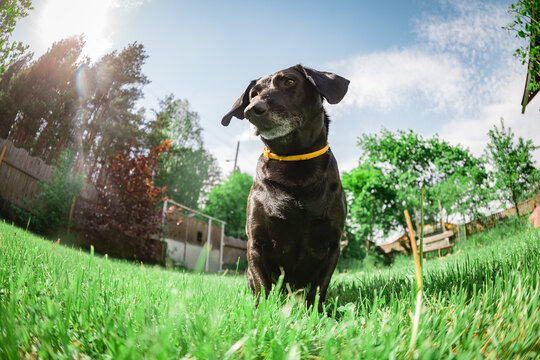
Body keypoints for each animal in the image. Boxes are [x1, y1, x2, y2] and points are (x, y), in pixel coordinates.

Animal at [220, 64, 350, 310]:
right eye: (253, 94)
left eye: (289, 82)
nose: (252, 109)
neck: (295, 166)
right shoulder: (256, 244)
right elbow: (263, 287)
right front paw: (262, 312)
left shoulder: (332, 245)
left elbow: (319, 288)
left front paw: (317, 313)